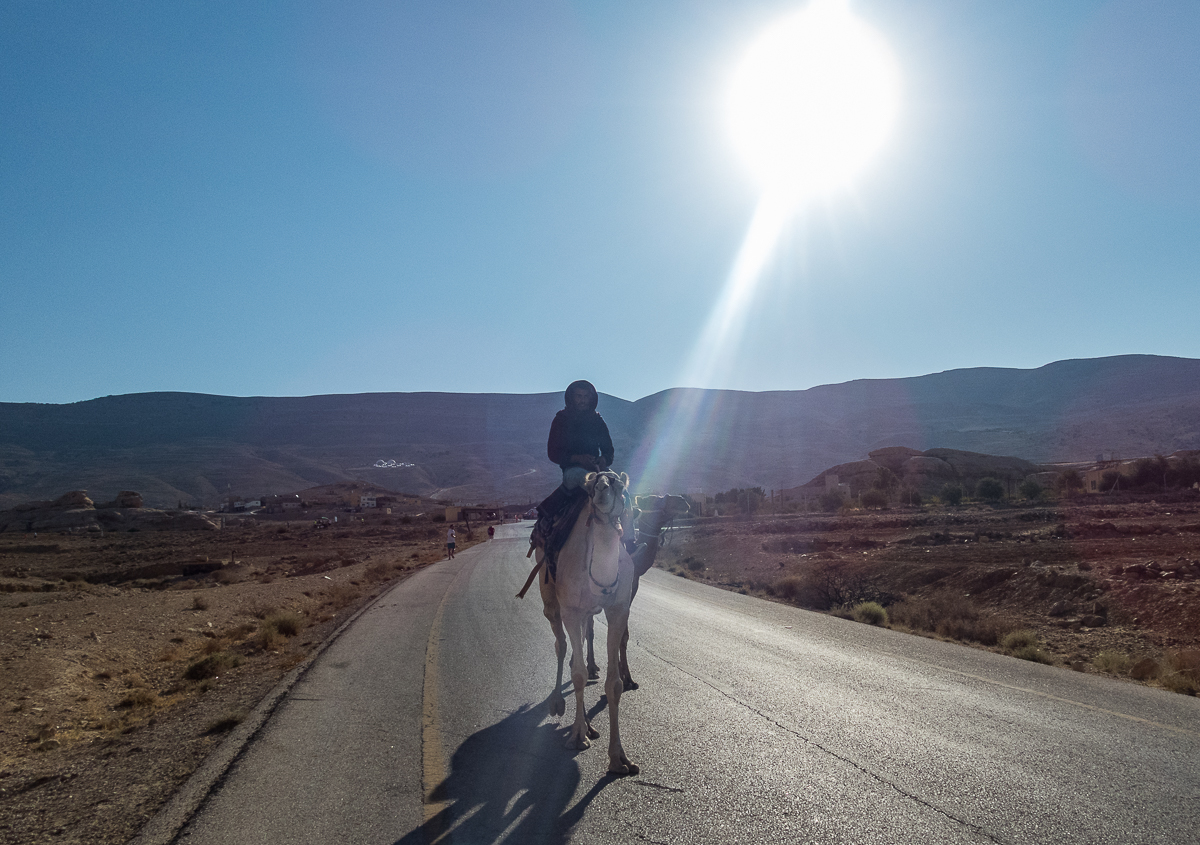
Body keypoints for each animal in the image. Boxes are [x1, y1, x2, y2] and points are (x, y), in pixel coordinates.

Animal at [537, 472, 638, 777]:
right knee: (561, 646)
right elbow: (580, 675)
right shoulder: (571, 610)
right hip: (552, 602)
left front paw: (619, 759)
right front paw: (577, 737)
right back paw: (559, 704)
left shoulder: (618, 610)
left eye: (620, 483)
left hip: (585, 615)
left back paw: (589, 726)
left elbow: (614, 684)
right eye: (593, 484)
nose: (606, 486)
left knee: (577, 646)